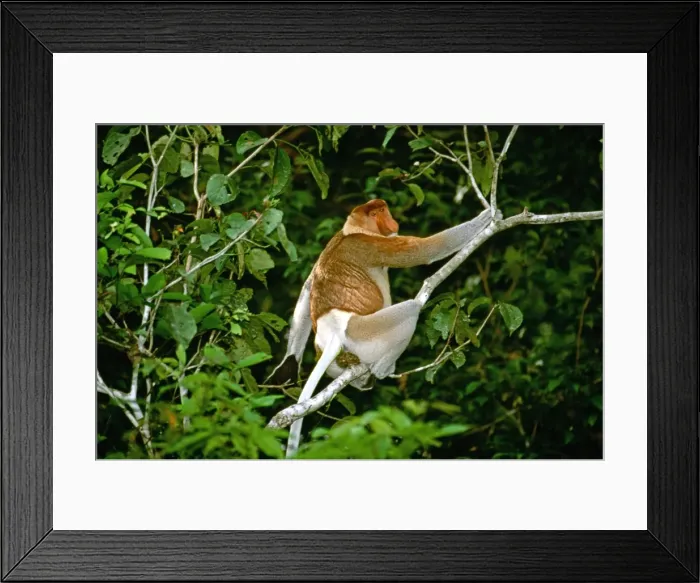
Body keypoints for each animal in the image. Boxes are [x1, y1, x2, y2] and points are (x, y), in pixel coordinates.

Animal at [268, 199, 500, 457]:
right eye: (377, 212)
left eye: (383, 209)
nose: (392, 221)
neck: (353, 230)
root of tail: (333, 334)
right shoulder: (374, 245)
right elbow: (424, 250)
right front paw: (486, 217)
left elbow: (308, 286)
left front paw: (288, 367)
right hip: (364, 331)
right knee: (410, 308)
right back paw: (382, 368)